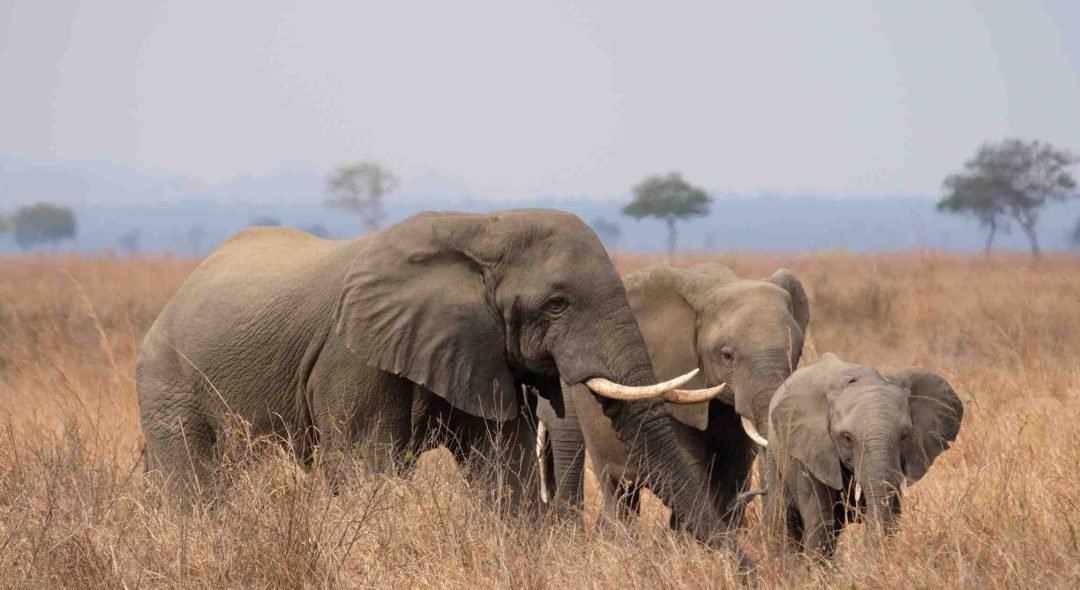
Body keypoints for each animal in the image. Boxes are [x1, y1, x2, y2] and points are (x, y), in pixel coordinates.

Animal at [136, 209, 738, 547]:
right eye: (558, 304)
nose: (742, 565)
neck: (483, 227)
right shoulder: (353, 356)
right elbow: (366, 465)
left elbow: (502, 467)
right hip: (166, 384)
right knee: (196, 483)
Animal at [762, 353, 964, 558]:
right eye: (847, 438)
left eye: (904, 436)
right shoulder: (810, 451)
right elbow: (820, 518)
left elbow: (892, 512)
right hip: (774, 457)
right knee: (785, 519)